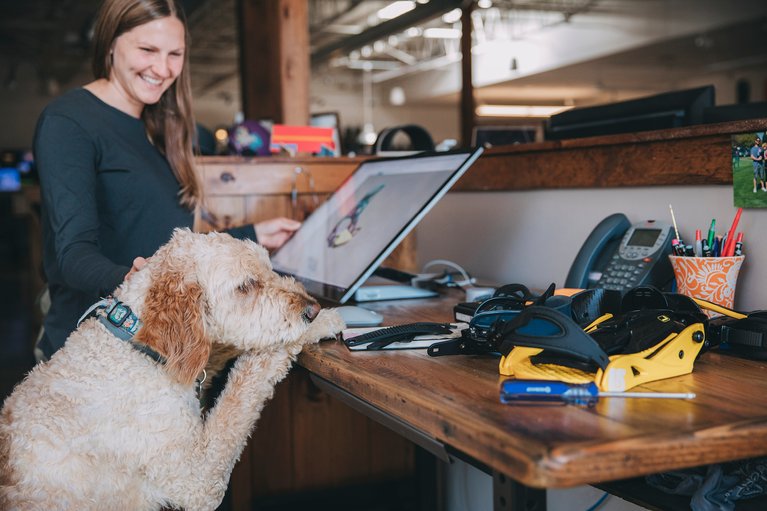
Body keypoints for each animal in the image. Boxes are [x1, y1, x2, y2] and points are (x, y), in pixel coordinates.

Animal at [0, 231, 342, 511]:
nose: (312, 308)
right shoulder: (198, 476)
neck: (133, 344)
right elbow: (243, 389)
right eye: (246, 285)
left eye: (269, 269)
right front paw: (322, 322)